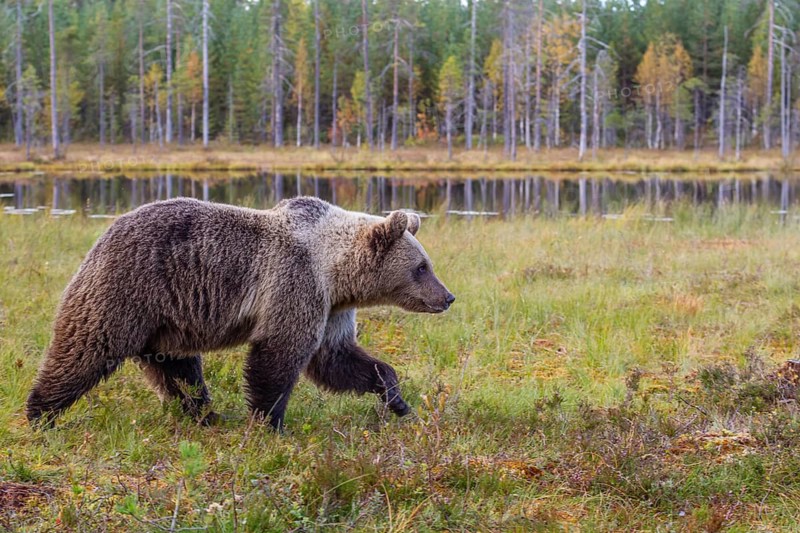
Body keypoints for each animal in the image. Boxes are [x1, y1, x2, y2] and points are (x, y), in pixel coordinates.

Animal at [26, 196, 455, 430]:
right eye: (421, 267)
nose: (448, 296)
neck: (334, 270)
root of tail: (103, 236)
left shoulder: (331, 306)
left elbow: (337, 359)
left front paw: (397, 399)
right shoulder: (294, 281)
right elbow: (280, 354)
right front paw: (270, 422)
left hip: (166, 320)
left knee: (177, 370)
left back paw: (204, 413)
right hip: (126, 288)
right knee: (86, 348)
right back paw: (39, 413)